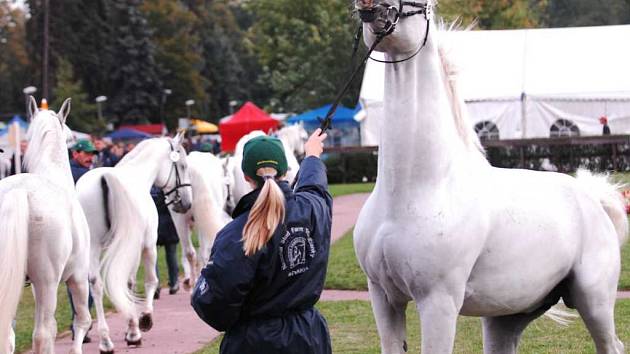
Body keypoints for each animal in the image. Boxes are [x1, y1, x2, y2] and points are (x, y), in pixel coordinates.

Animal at [0, 97, 92, 354]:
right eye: (70, 136)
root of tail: (20, 192)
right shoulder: (78, 277)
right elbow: (81, 321)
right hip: (47, 282)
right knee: (41, 334)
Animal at [75, 131, 193, 352]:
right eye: (182, 165)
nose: (186, 203)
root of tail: (105, 178)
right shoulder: (146, 245)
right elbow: (148, 281)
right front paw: (141, 322)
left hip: (92, 247)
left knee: (96, 284)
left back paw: (105, 341)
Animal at [354, 1, 628, 352]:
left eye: (422, 4)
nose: (369, 6)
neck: (416, 191)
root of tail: (592, 197)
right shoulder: (383, 297)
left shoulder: (438, 301)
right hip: (508, 316)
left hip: (594, 301)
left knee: (611, 344)